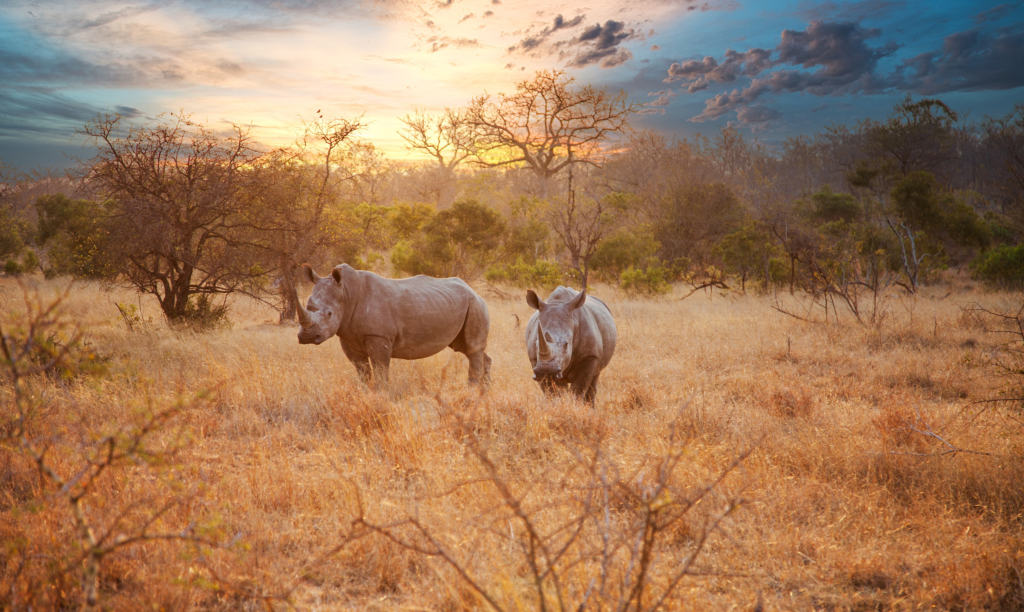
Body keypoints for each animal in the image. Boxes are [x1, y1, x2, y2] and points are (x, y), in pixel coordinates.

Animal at [296, 264, 491, 388]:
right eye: (308, 306)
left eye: (329, 314)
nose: (306, 337)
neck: (345, 293)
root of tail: (474, 291)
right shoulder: (347, 335)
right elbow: (362, 371)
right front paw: (365, 393)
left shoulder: (379, 336)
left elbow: (381, 371)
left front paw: (381, 396)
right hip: (459, 304)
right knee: (466, 348)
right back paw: (484, 391)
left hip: (475, 304)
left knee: (472, 349)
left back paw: (471, 391)